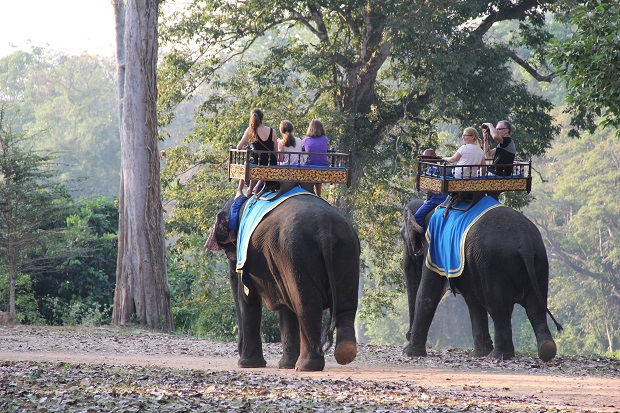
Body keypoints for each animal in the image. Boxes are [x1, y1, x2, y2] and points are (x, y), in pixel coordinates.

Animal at [205, 192, 358, 372]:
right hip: (347, 248)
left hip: (296, 253)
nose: (238, 349)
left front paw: (248, 365)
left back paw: (305, 367)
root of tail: (324, 229)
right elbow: (285, 303)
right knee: (345, 305)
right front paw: (285, 366)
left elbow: (248, 298)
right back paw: (345, 352)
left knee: (307, 306)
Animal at [400, 198, 564, 358]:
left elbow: (428, 294)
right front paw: (479, 354)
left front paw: (409, 353)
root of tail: (525, 244)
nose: (407, 335)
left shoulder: (434, 249)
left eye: (402, 236)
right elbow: (472, 300)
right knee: (535, 307)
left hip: (494, 264)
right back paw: (546, 350)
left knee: (499, 308)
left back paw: (498, 355)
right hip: (539, 260)